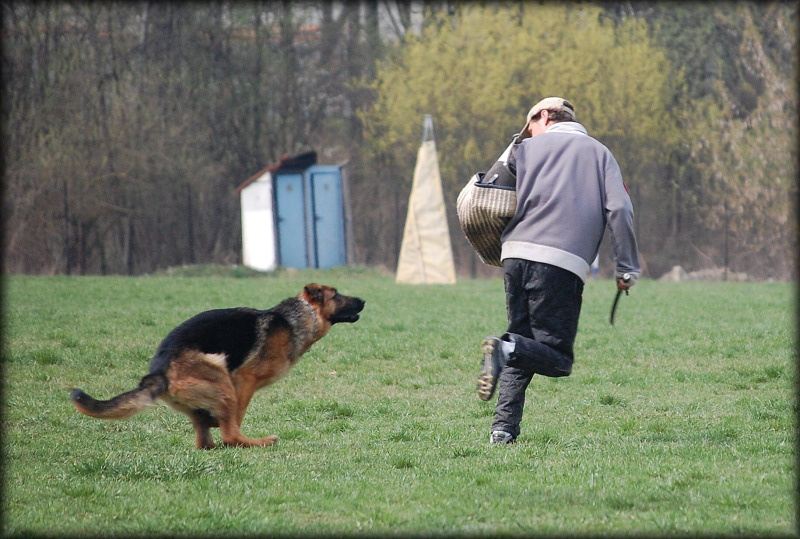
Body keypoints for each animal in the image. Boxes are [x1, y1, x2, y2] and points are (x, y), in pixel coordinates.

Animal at [72, 284, 366, 450]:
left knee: (204, 443)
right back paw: (258, 442)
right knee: (230, 436)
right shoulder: (244, 381)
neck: (301, 316)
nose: (364, 301)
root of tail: (158, 372)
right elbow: (239, 415)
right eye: (336, 295)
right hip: (221, 378)